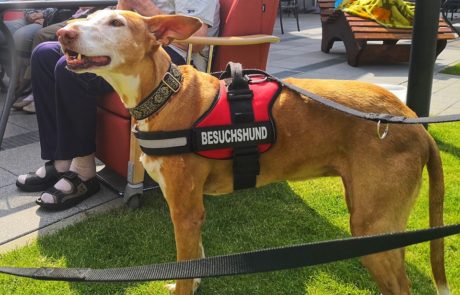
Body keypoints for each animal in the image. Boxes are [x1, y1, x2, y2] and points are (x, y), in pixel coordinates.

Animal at [55, 10, 448, 295]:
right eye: (88, 16)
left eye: (115, 23)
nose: (63, 33)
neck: (165, 95)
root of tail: (409, 117)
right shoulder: (193, 211)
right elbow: (196, 260)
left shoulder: (184, 211)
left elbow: (184, 269)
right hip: (378, 222)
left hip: (372, 226)